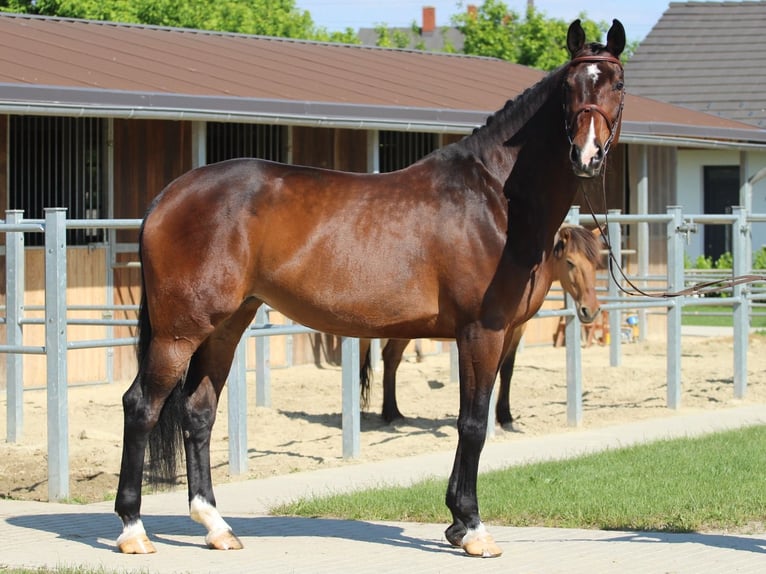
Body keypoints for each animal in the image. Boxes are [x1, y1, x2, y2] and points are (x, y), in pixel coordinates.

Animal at [360, 224, 603, 425]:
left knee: (391, 359)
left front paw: (505, 416)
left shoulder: (516, 331)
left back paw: (392, 413)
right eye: (570, 262)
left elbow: (507, 370)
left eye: (595, 264)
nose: (590, 310)